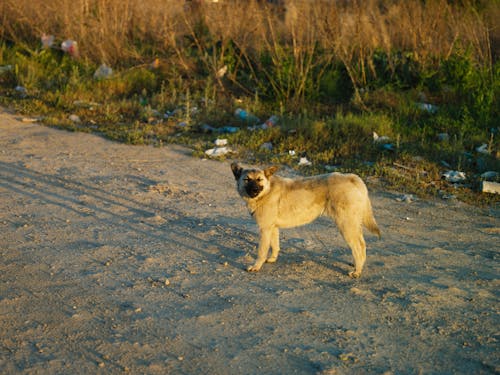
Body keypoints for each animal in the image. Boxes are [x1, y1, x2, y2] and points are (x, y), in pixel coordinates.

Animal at [230, 162, 378, 280]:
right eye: (247, 179)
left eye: (259, 180)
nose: (254, 189)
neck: (266, 192)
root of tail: (352, 177)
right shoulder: (272, 228)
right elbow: (275, 245)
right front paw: (273, 258)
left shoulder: (265, 229)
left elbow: (261, 251)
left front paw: (256, 266)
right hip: (352, 225)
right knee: (362, 245)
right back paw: (357, 264)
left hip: (346, 226)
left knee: (358, 246)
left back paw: (357, 271)